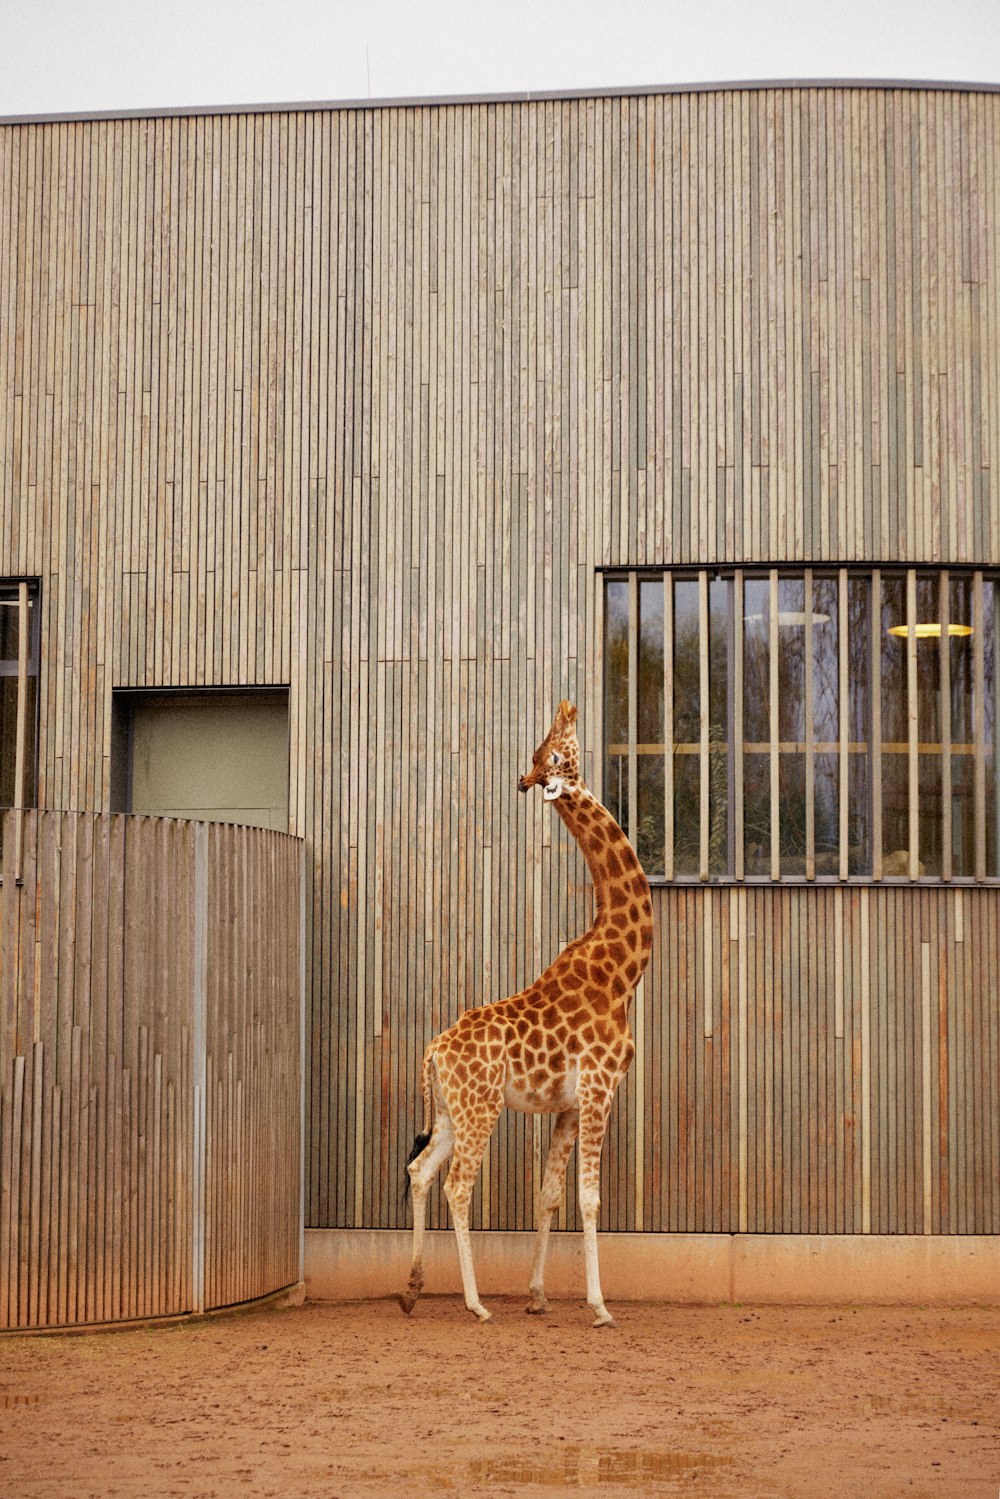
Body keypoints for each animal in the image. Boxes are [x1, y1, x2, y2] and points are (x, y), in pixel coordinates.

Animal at [401, 698, 653, 1325]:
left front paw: (538, 1295)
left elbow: (550, 1194)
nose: (570, 706)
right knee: (458, 1185)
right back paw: (475, 1304)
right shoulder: (600, 1088)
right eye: (556, 755)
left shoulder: (569, 1104)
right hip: (481, 1109)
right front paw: (599, 1306)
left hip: (450, 1112)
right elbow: (588, 1198)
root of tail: (433, 1050)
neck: (622, 970)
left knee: (420, 1170)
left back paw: (413, 1289)